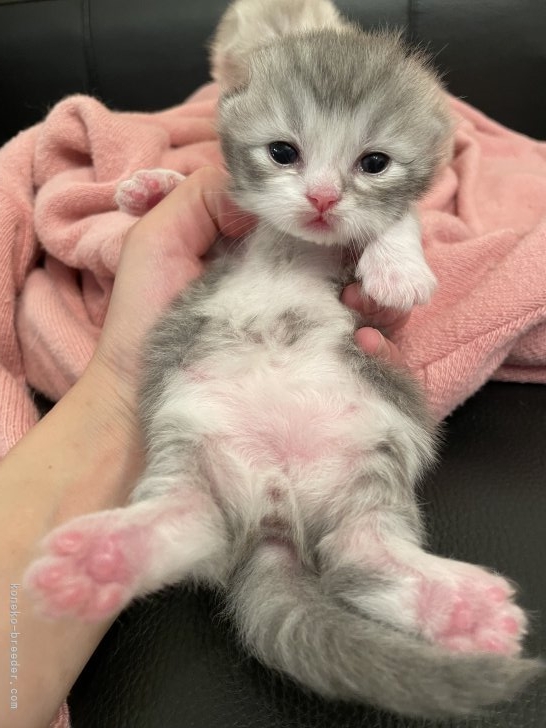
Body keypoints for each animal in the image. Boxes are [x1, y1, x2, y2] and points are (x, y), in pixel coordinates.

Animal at [24, 0, 541, 718]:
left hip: (371, 458)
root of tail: (276, 509)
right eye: (283, 152)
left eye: (374, 162)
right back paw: (102, 557)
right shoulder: (219, 250)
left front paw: (398, 268)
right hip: (193, 447)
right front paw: (147, 188)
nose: (323, 197)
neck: (297, 246)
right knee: (193, 521)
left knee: (356, 551)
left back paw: (460, 606)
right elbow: (181, 211)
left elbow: (400, 220)